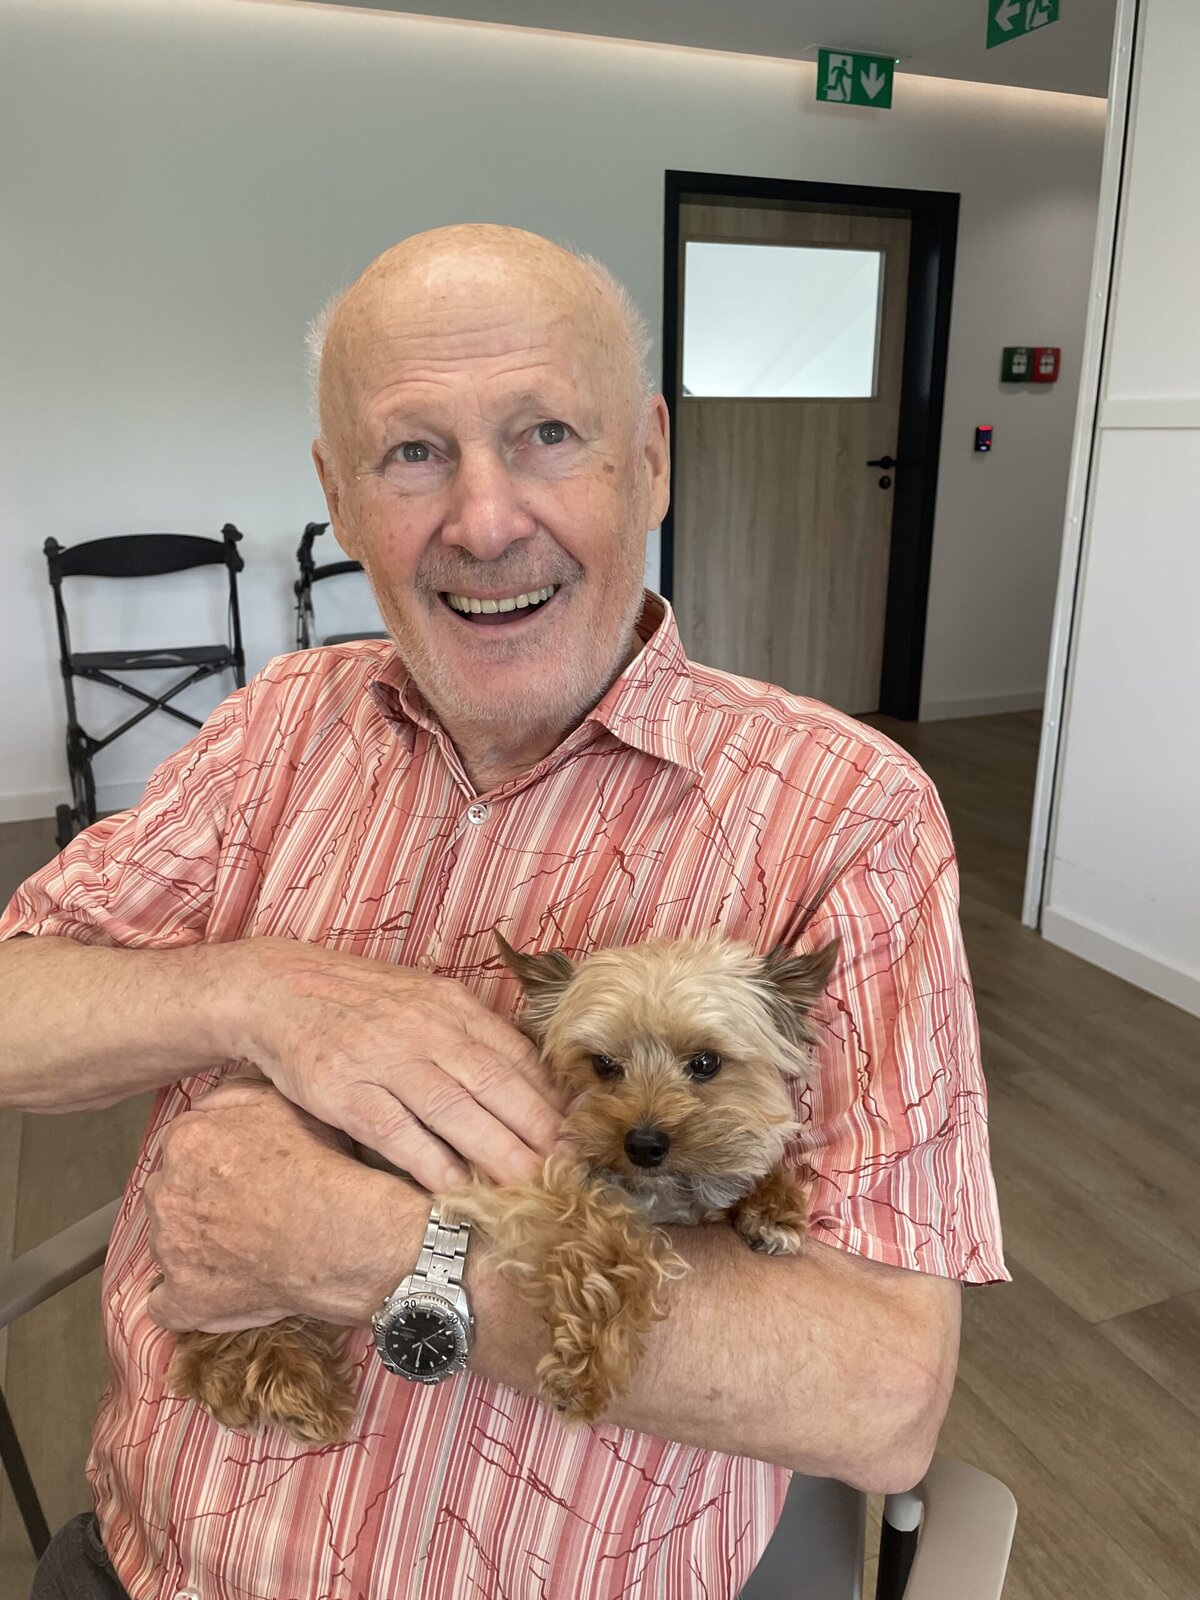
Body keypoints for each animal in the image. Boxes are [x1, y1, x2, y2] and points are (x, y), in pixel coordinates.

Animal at [167, 932, 838, 1439]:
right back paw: (286, 1385)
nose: (644, 1144)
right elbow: (617, 1247)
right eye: (603, 1065)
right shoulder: (516, 1184)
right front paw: (588, 1368)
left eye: (705, 1063)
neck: (649, 1187)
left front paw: (771, 1205)